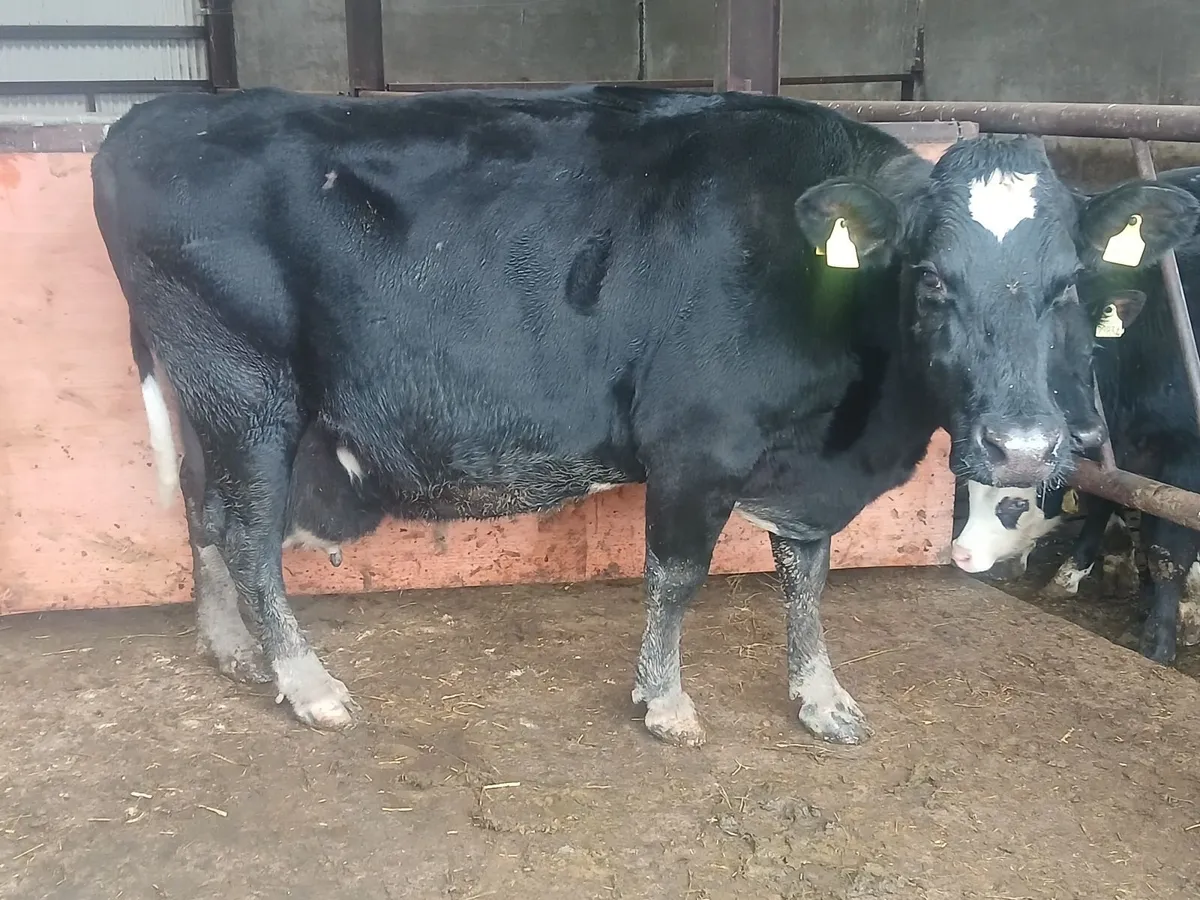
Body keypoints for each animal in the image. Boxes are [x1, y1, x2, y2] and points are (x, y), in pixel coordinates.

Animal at [951, 166, 1200, 662]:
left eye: (1087, 347)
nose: (1082, 431)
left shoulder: (1185, 450)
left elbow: (1168, 545)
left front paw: (1158, 638)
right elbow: (1105, 496)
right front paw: (1072, 571)